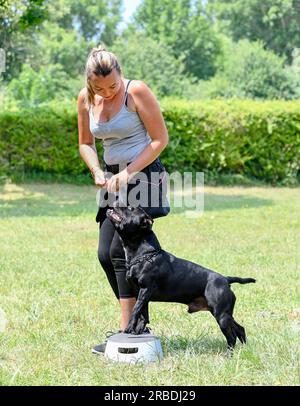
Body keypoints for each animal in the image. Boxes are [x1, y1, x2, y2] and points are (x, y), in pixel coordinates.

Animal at [106, 205, 255, 350]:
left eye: (131, 209)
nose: (117, 203)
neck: (144, 254)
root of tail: (225, 279)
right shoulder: (141, 294)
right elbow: (143, 313)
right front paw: (138, 331)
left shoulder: (145, 290)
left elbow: (135, 311)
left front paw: (129, 328)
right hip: (224, 314)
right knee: (240, 329)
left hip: (221, 315)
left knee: (231, 336)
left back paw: (229, 354)